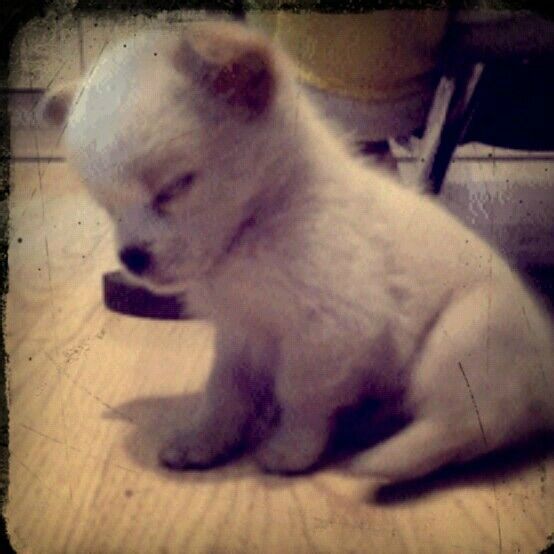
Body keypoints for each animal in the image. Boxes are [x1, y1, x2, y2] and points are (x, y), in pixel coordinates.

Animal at [40, 21, 554, 482]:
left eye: (175, 187)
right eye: (107, 207)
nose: (131, 258)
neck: (259, 225)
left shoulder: (329, 332)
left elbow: (300, 397)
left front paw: (291, 450)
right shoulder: (240, 335)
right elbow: (224, 393)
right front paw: (204, 441)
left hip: (459, 337)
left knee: (466, 426)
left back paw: (384, 459)